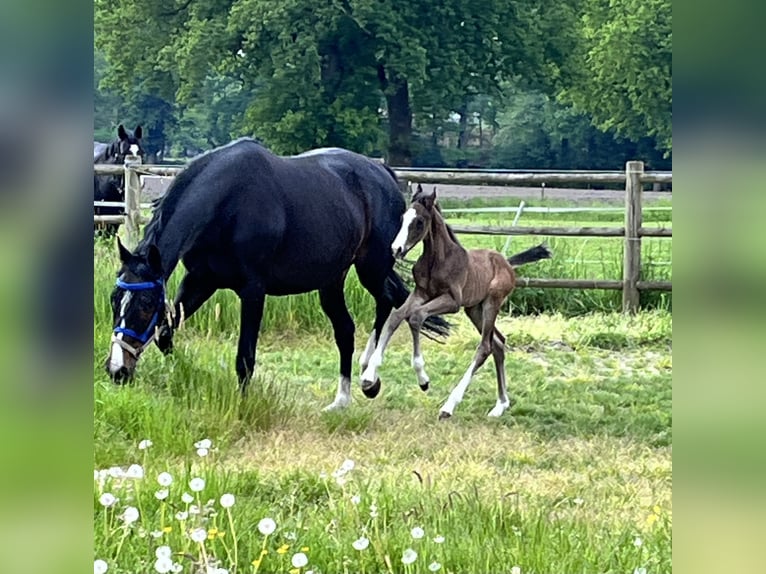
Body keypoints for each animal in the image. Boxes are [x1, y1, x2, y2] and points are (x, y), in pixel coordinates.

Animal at [103, 138, 450, 410]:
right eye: (114, 299)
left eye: (146, 304)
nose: (116, 370)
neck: (227, 202)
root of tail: (383, 174)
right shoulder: (201, 281)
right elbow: (165, 334)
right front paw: (181, 376)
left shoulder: (253, 290)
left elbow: (245, 358)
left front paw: (243, 408)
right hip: (331, 280)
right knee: (345, 329)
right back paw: (341, 400)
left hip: (372, 267)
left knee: (386, 305)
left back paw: (370, 377)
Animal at [360, 187, 552, 420]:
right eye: (402, 218)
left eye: (420, 221)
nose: (395, 249)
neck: (438, 260)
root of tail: (507, 263)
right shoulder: (420, 294)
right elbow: (398, 316)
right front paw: (369, 376)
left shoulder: (452, 302)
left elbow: (416, 317)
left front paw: (423, 378)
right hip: (474, 309)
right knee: (498, 343)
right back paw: (501, 405)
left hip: (491, 303)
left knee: (485, 347)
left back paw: (449, 406)